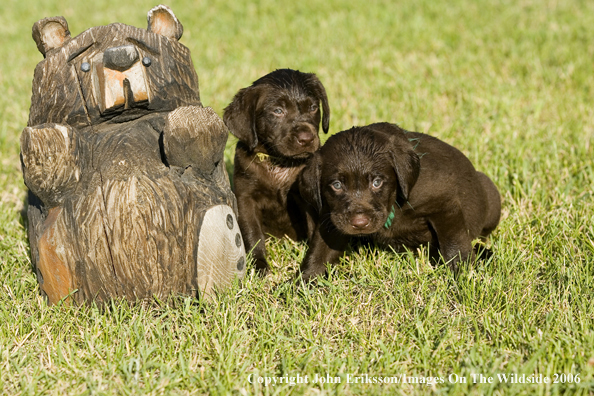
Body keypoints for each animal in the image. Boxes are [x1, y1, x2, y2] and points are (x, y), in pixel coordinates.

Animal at [224, 69, 330, 274]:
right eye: (278, 111)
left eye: (313, 107)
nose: (307, 138)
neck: (278, 162)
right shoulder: (246, 198)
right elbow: (252, 234)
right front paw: (259, 266)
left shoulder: (307, 199)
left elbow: (314, 231)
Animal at [298, 122, 498, 280]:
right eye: (337, 185)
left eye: (377, 182)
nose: (359, 223)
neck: (393, 203)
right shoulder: (332, 217)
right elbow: (320, 251)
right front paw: (305, 282)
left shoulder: (445, 204)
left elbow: (454, 242)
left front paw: (462, 272)